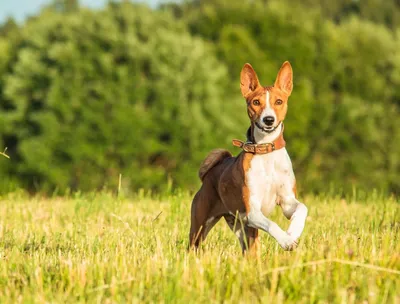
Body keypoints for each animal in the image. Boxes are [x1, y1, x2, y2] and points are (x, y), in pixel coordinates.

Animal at [189, 61, 308, 254]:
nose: (269, 119)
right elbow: (272, 224)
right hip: (201, 227)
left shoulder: (287, 201)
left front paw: (293, 232)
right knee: (193, 246)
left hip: (242, 228)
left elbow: (302, 208)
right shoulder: (252, 211)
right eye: (256, 102)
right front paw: (286, 240)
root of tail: (210, 174)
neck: (266, 152)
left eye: (279, 101)